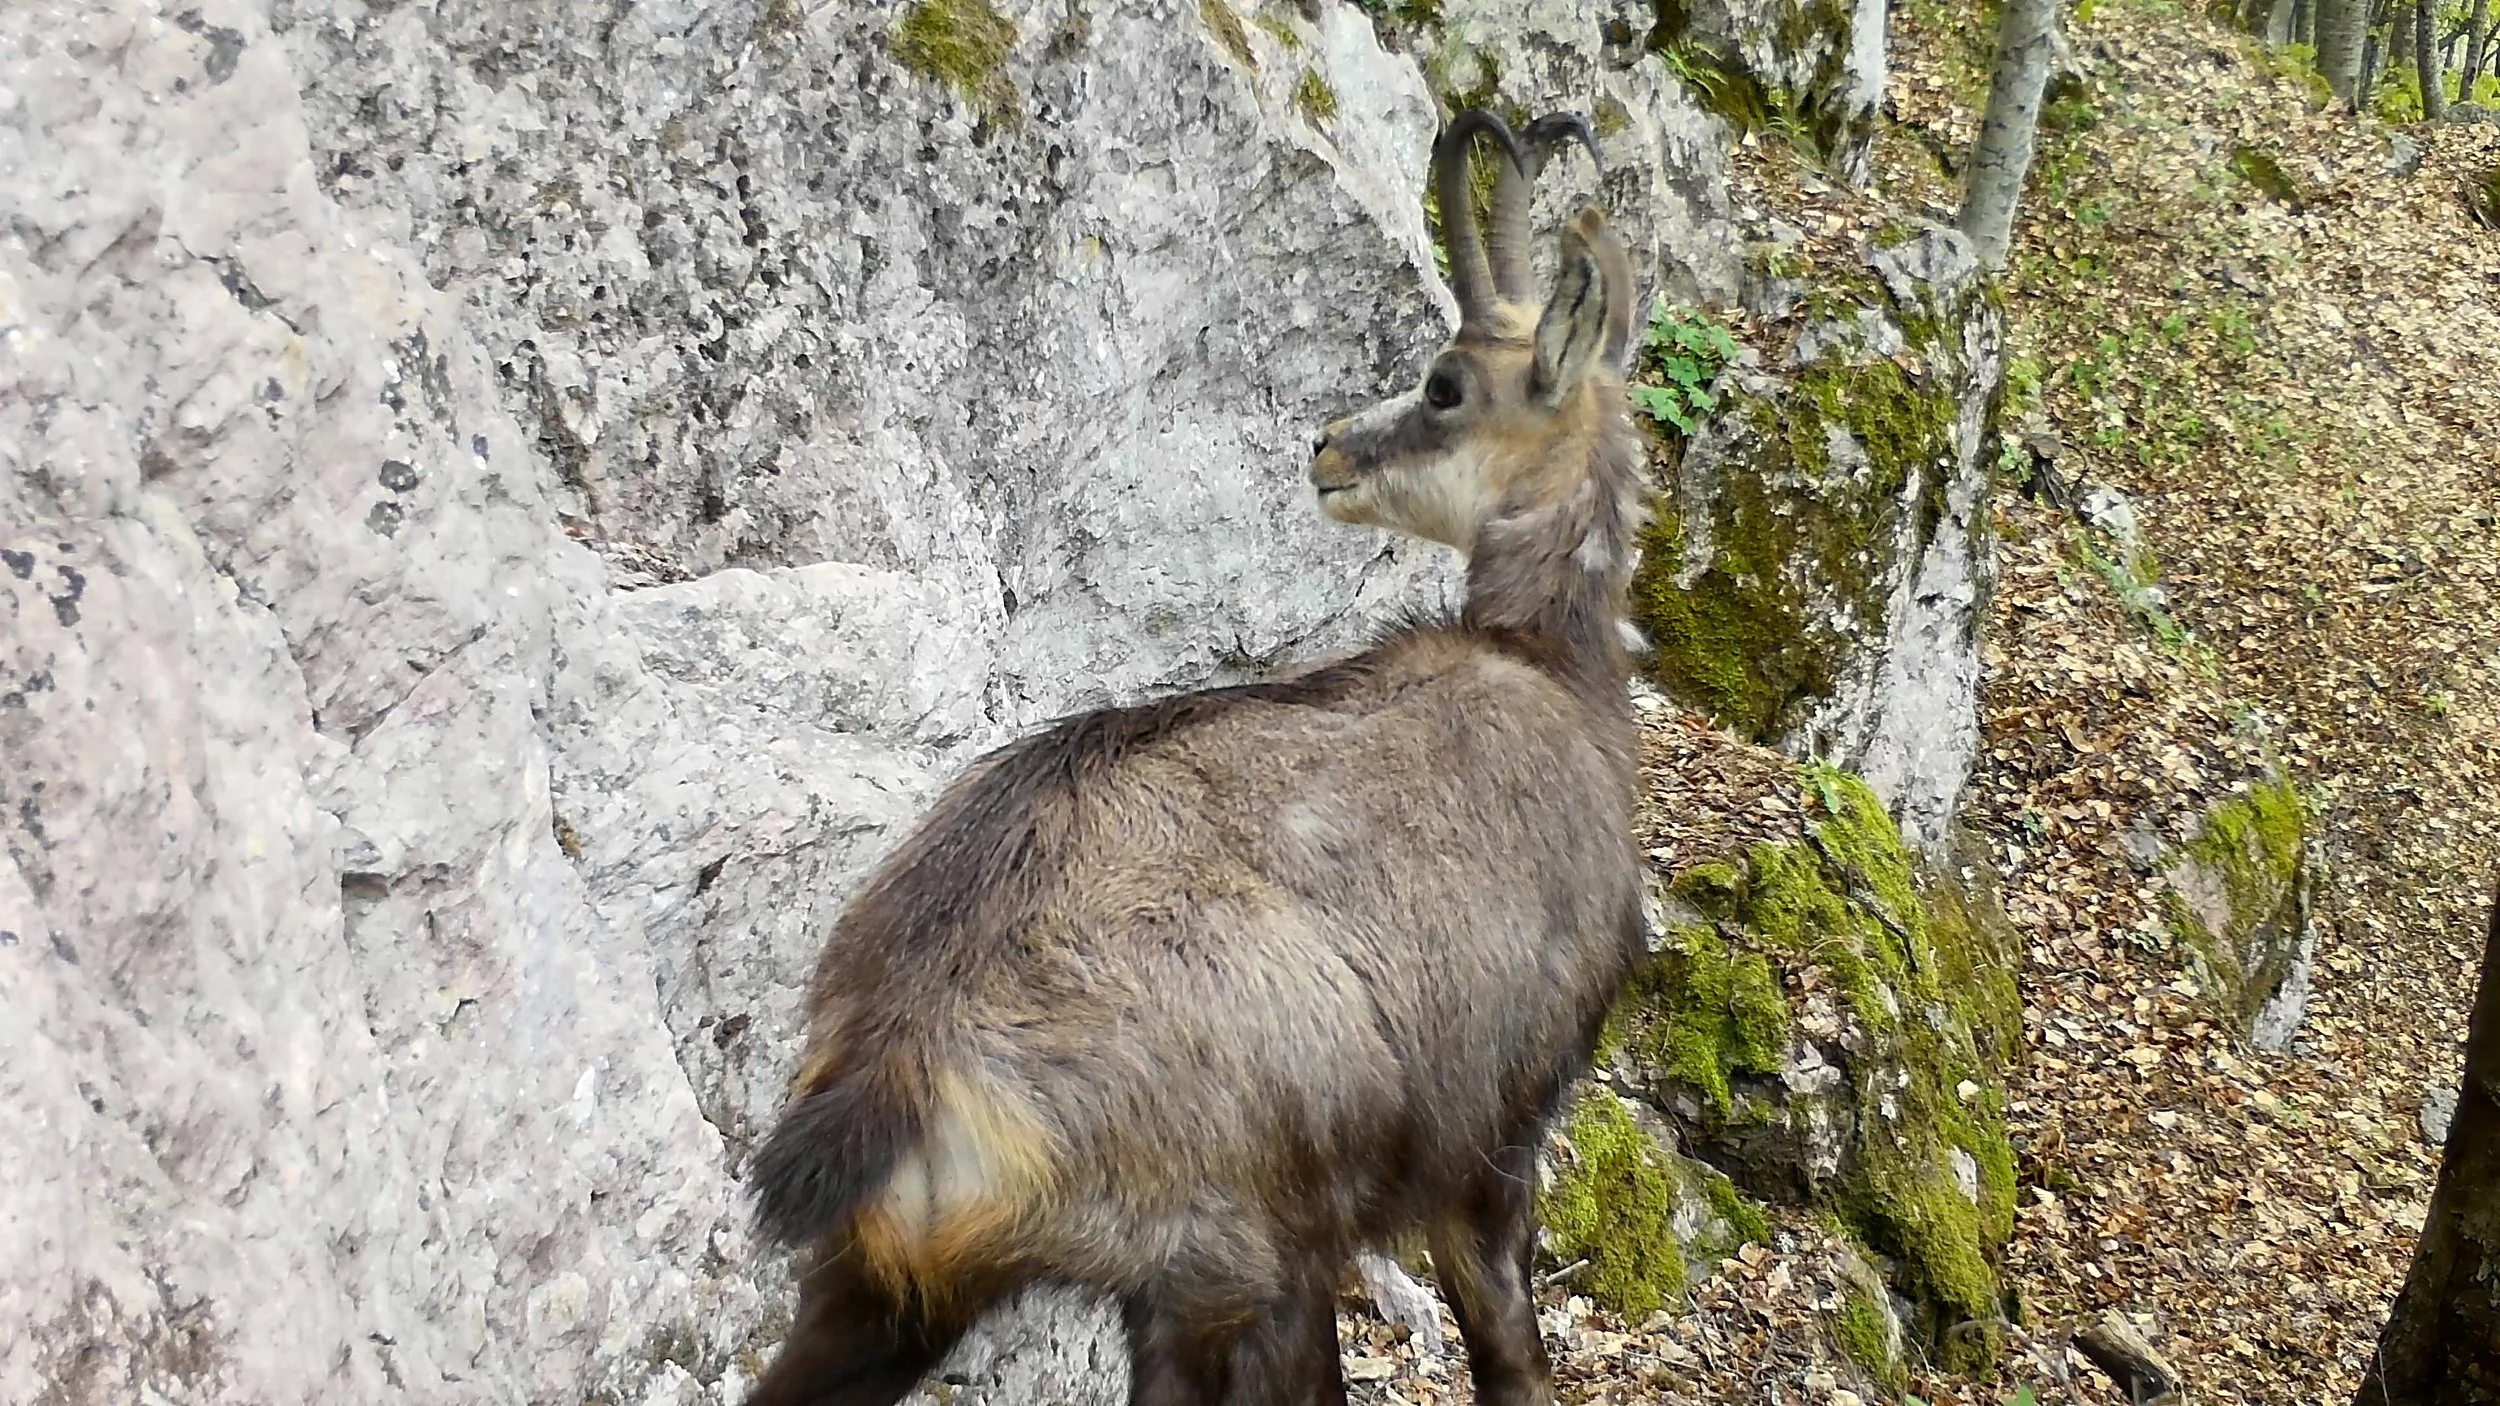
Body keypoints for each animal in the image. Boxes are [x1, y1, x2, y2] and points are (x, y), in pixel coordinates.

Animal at [743, 108, 1649, 1406]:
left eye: (1440, 385)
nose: (1327, 449)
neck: (1554, 675)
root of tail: (901, 1058)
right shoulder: (1496, 1144)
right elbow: (1514, 1360)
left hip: (888, 1286)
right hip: (1239, 1256)